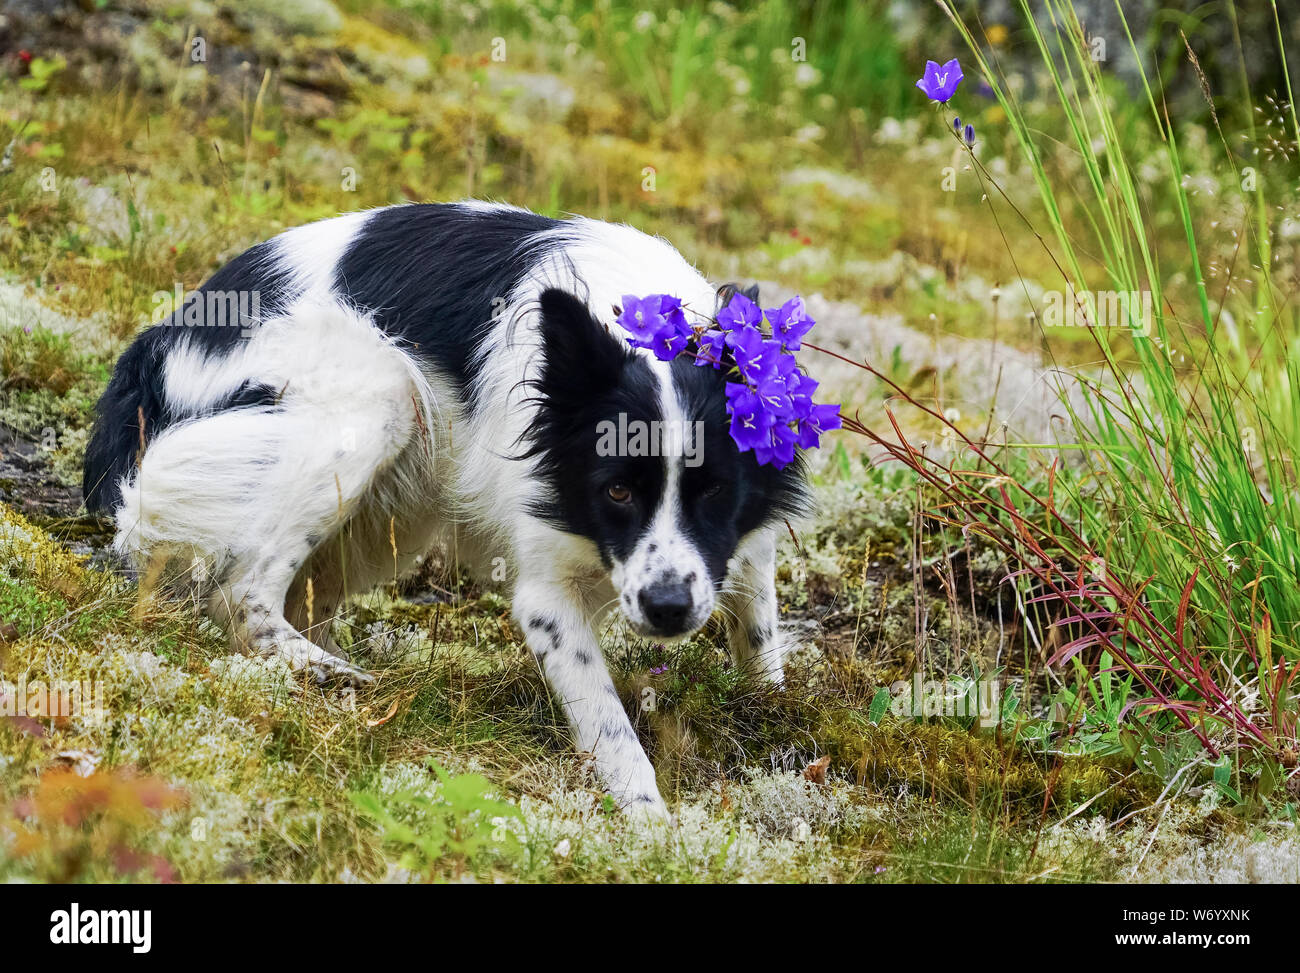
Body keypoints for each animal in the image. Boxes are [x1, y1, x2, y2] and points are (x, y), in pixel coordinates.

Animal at [83, 201, 800, 811]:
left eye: (715, 491)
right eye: (617, 491)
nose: (669, 609)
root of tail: (155, 346)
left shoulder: (745, 545)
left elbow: (760, 637)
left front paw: (776, 720)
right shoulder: (546, 594)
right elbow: (608, 721)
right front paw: (649, 825)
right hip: (379, 395)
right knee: (242, 593)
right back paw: (330, 675)